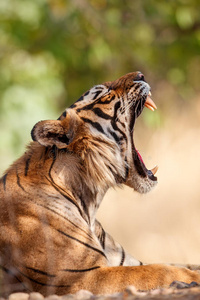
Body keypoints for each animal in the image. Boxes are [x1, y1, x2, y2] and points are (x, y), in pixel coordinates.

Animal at [0, 71, 200, 298]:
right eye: (104, 95)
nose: (141, 74)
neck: (90, 199)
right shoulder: (83, 277)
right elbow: (161, 270)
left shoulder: (124, 261)